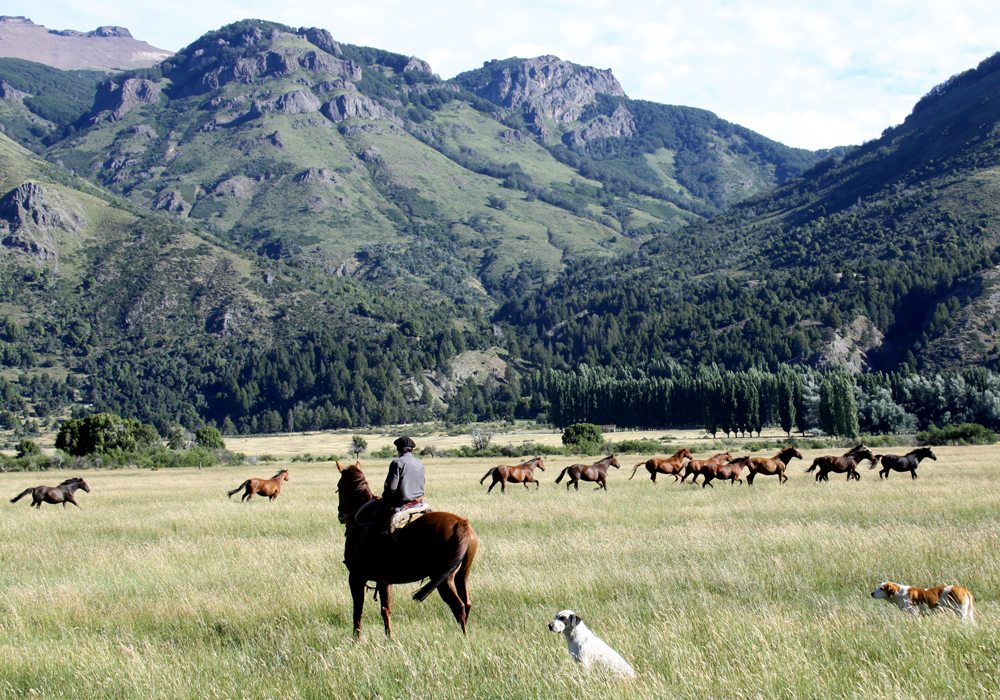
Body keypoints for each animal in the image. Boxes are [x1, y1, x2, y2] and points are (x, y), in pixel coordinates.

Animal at [336, 461, 478, 639]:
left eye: (339, 486)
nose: (340, 514)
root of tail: (462, 524)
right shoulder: (384, 581)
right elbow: (386, 609)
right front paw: (389, 638)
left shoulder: (356, 577)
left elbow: (358, 611)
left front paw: (356, 640)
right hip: (462, 575)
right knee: (467, 603)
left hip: (445, 580)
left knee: (458, 607)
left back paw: (463, 638)